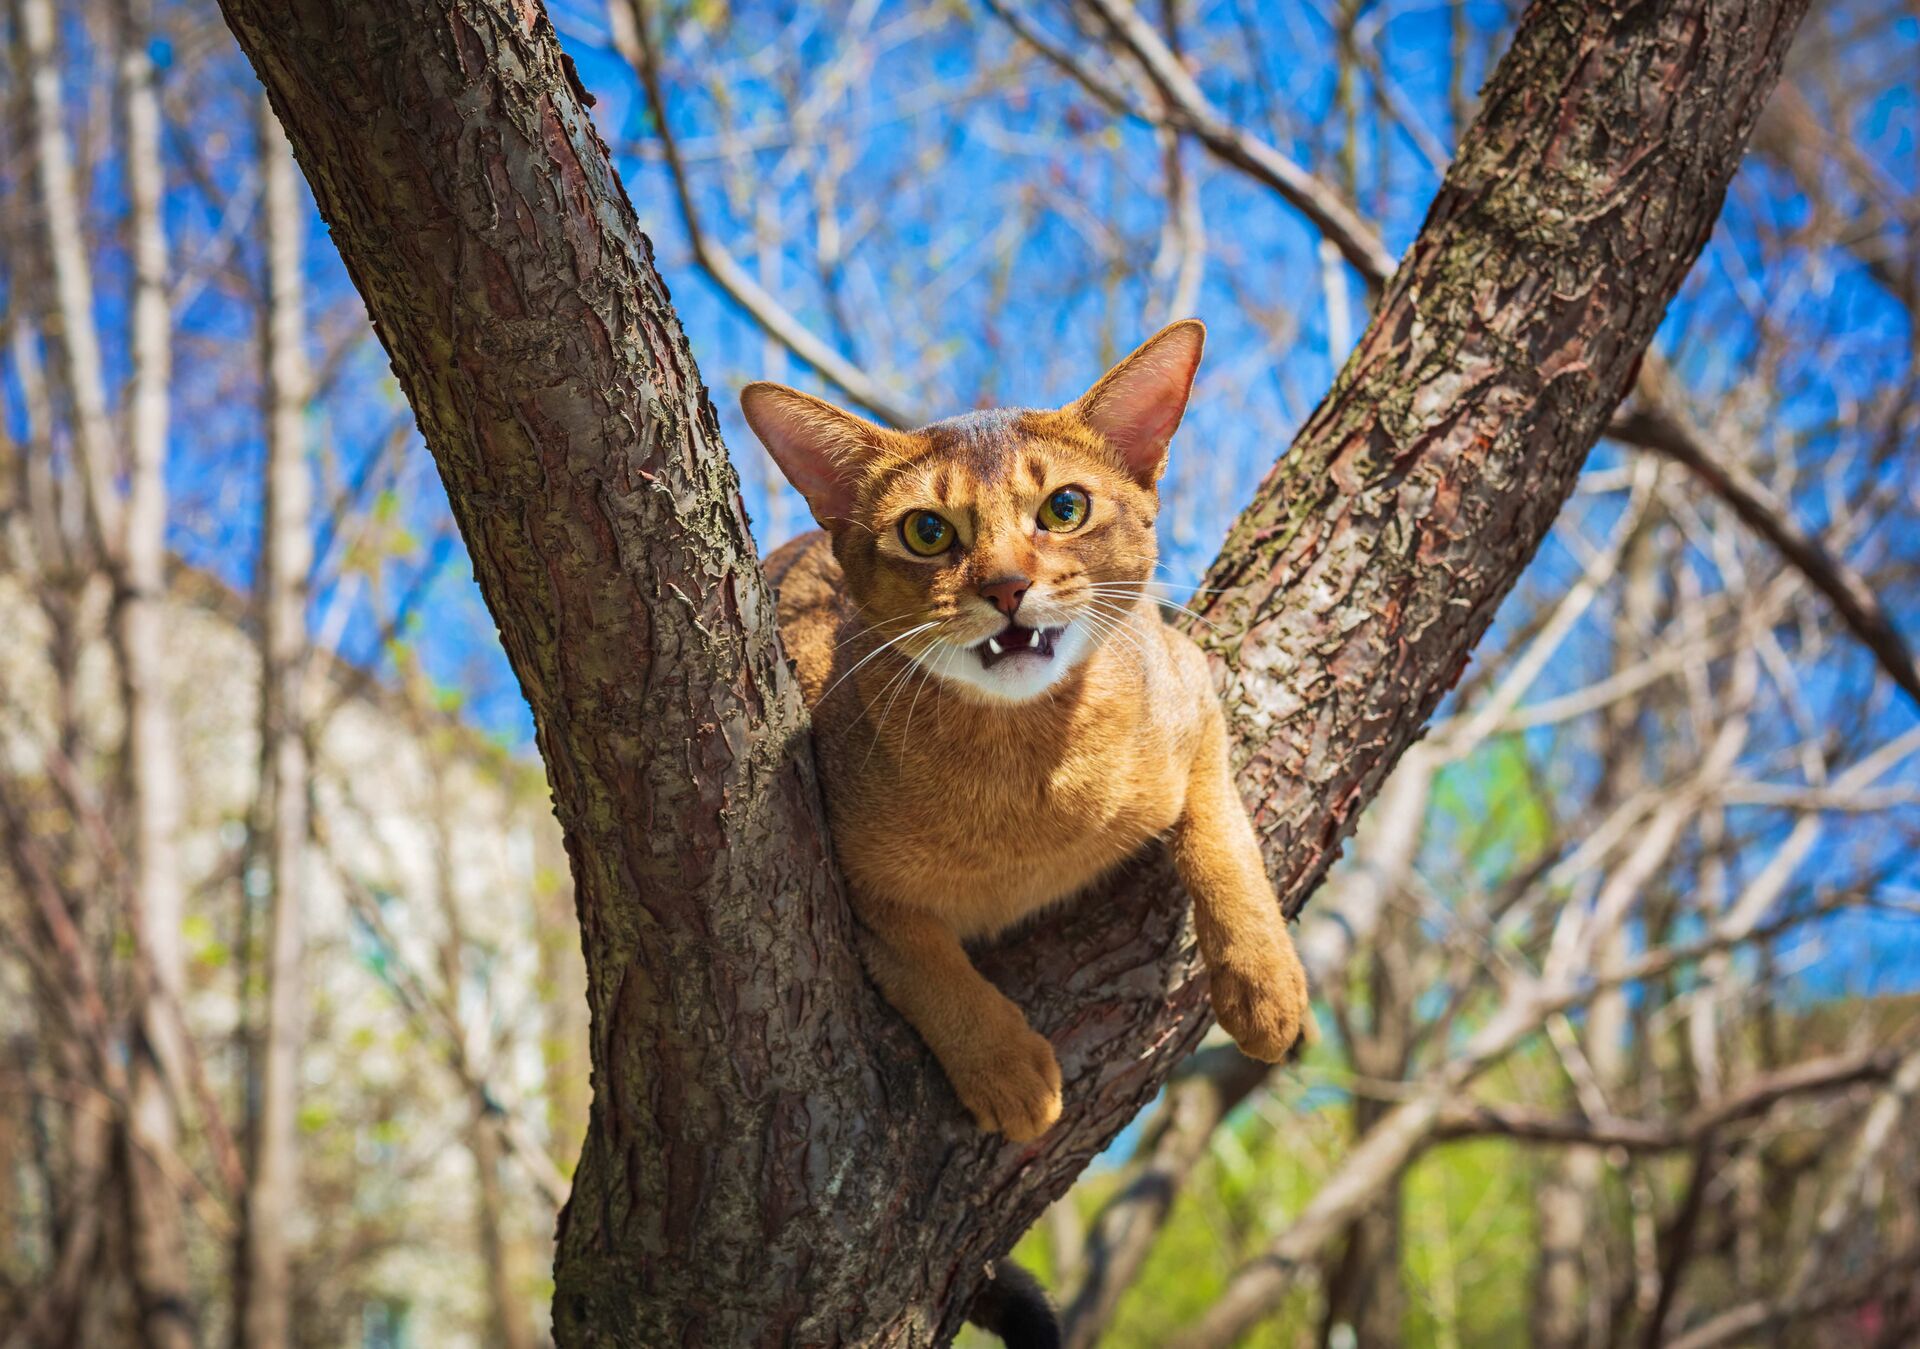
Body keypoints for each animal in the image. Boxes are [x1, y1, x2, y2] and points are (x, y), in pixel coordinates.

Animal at [741, 322, 1313, 1143]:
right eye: (927, 531)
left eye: (1065, 507)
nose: (1007, 586)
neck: (1030, 781)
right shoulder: (845, 870)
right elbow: (922, 961)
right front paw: (1008, 1070)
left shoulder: (1191, 683)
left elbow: (1223, 836)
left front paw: (1264, 984)